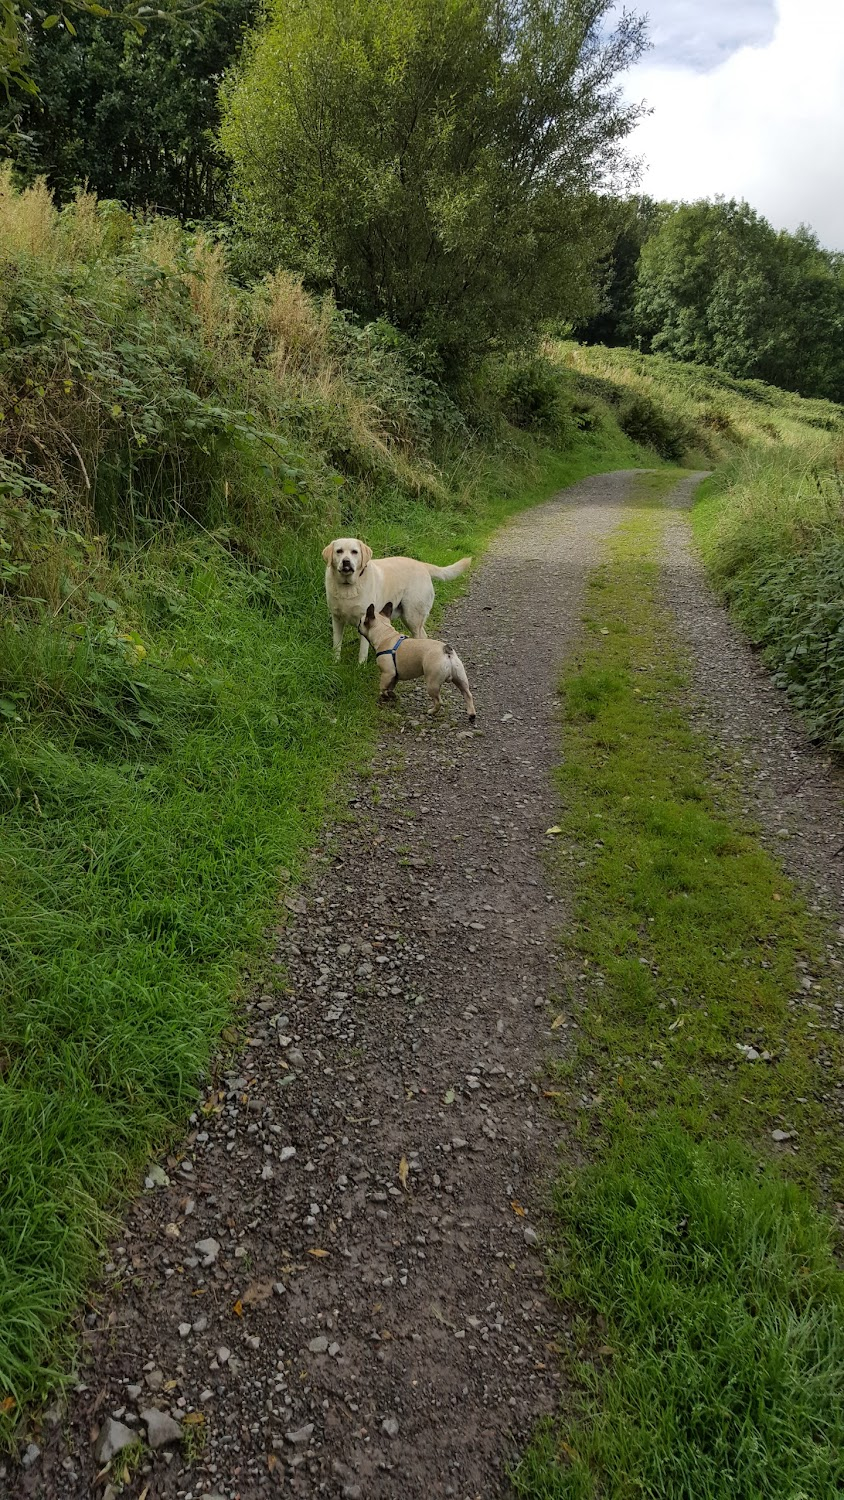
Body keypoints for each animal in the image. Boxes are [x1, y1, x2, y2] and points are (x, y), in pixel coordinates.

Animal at [322, 534, 473, 663]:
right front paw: (335, 662)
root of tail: (422, 564)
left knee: (421, 636)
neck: (347, 587)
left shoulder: (365, 619)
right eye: (339, 551)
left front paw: (360, 666)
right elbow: (336, 645)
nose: (346, 562)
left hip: (413, 616)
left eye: (354, 552)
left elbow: (362, 651)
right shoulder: (337, 619)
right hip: (407, 616)